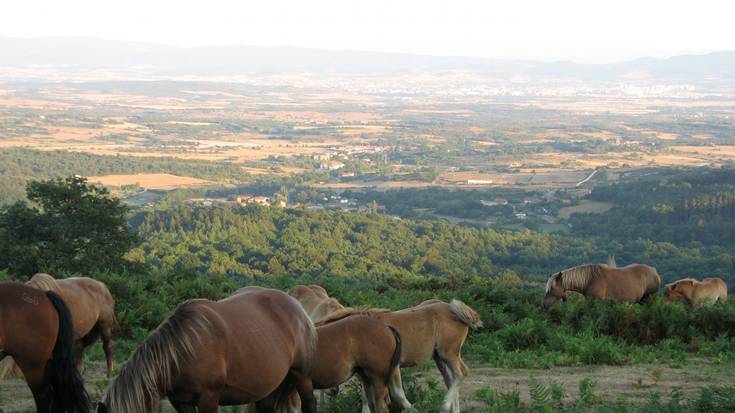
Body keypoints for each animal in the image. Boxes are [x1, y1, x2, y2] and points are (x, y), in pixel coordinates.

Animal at [96, 286, 318, 412]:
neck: (180, 351)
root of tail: (298, 307)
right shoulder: (181, 402)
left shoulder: (209, 397)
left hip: (302, 376)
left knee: (310, 403)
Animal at [320, 298, 484, 410]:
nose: (333, 391)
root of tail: (457, 311)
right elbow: (366, 397)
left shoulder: (392, 367)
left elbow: (396, 394)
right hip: (440, 358)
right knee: (451, 381)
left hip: (449, 353)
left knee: (461, 374)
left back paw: (444, 404)